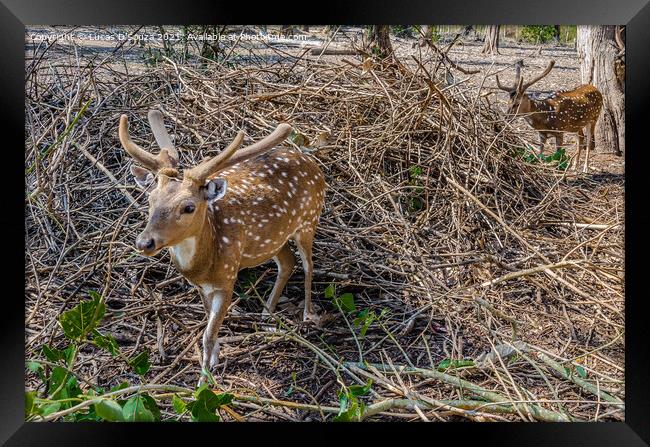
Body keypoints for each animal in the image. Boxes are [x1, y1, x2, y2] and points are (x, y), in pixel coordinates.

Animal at [117, 109, 324, 384]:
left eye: (188, 207)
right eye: (150, 199)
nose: (144, 242)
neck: (205, 264)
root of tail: (313, 164)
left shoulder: (228, 278)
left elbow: (207, 334)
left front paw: (204, 380)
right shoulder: (201, 286)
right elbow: (208, 323)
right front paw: (214, 358)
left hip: (309, 220)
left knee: (309, 266)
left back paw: (308, 315)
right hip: (274, 240)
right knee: (287, 262)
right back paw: (266, 315)